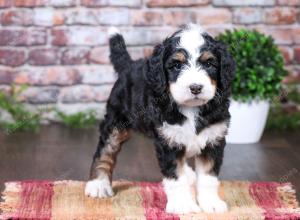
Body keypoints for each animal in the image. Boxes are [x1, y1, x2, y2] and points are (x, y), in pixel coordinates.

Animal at [84, 23, 234, 213]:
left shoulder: (213, 140)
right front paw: (183, 205)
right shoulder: (168, 142)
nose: (195, 87)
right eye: (176, 65)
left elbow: (209, 177)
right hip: (117, 121)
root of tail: (129, 65)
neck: (191, 109)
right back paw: (98, 184)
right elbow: (176, 177)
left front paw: (211, 203)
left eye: (209, 63)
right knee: (105, 150)